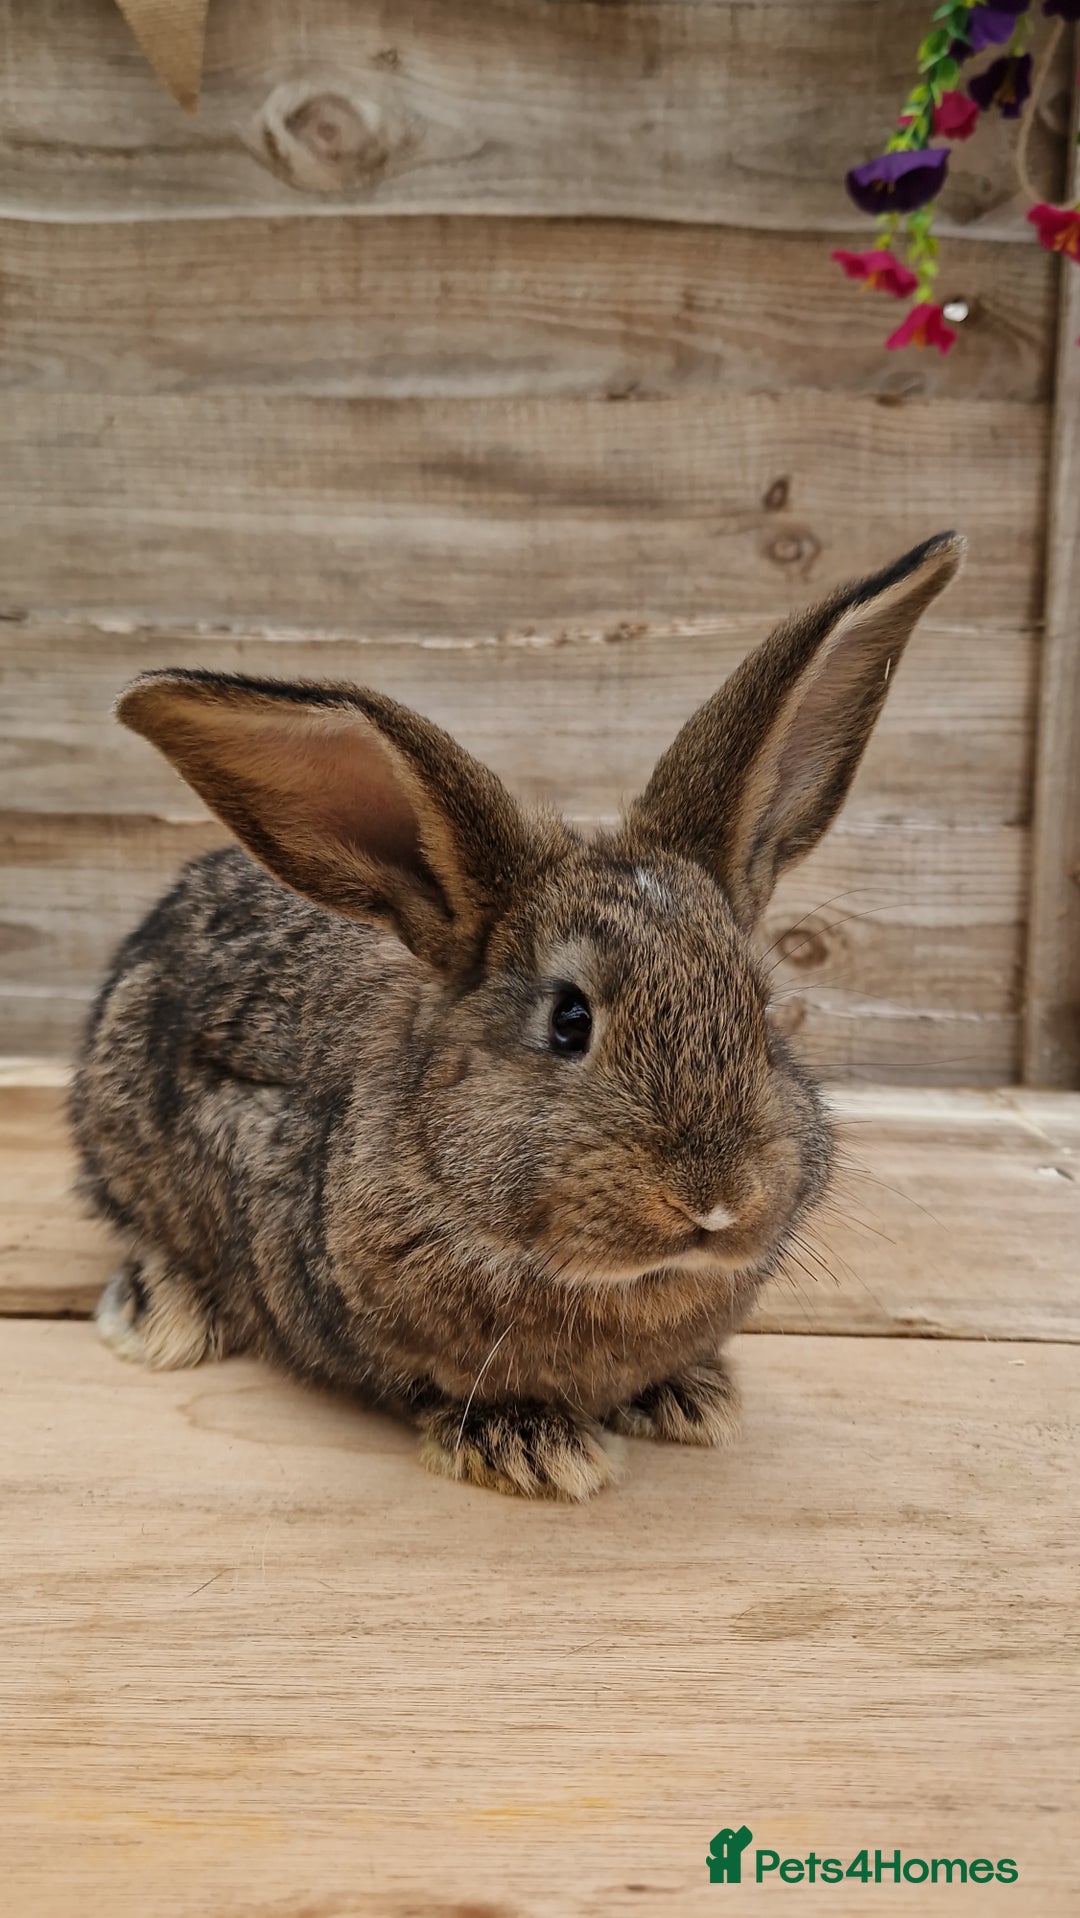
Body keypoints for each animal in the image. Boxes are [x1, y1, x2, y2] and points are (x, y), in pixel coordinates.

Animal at [71, 532, 964, 1500]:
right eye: (569, 1021)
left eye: (761, 1015)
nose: (715, 1200)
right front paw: (531, 1445)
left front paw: (687, 1395)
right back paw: (161, 1313)